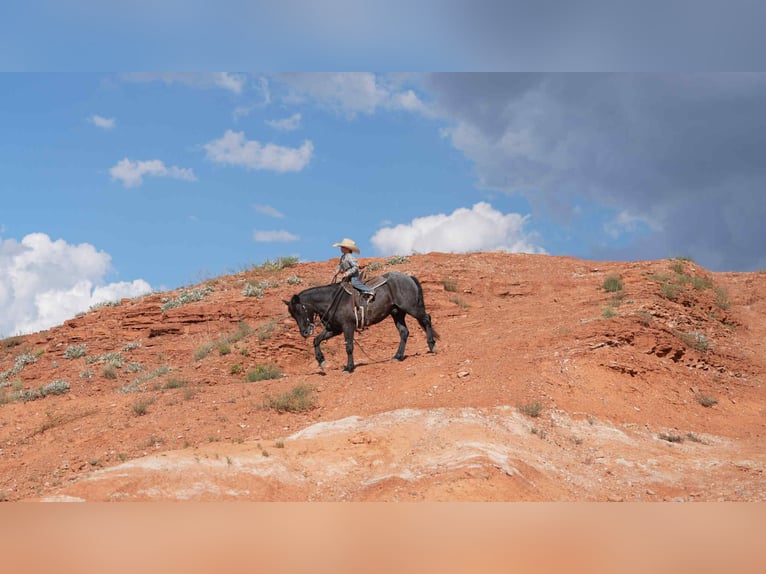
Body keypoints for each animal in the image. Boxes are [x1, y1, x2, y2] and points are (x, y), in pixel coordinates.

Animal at [284, 271, 438, 373]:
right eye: (292, 314)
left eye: (300, 309)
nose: (304, 332)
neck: (331, 299)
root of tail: (408, 277)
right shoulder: (334, 329)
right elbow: (316, 340)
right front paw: (322, 361)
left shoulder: (348, 326)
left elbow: (349, 347)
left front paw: (349, 368)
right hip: (397, 313)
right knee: (404, 332)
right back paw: (398, 356)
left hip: (411, 307)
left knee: (426, 319)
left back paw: (432, 346)